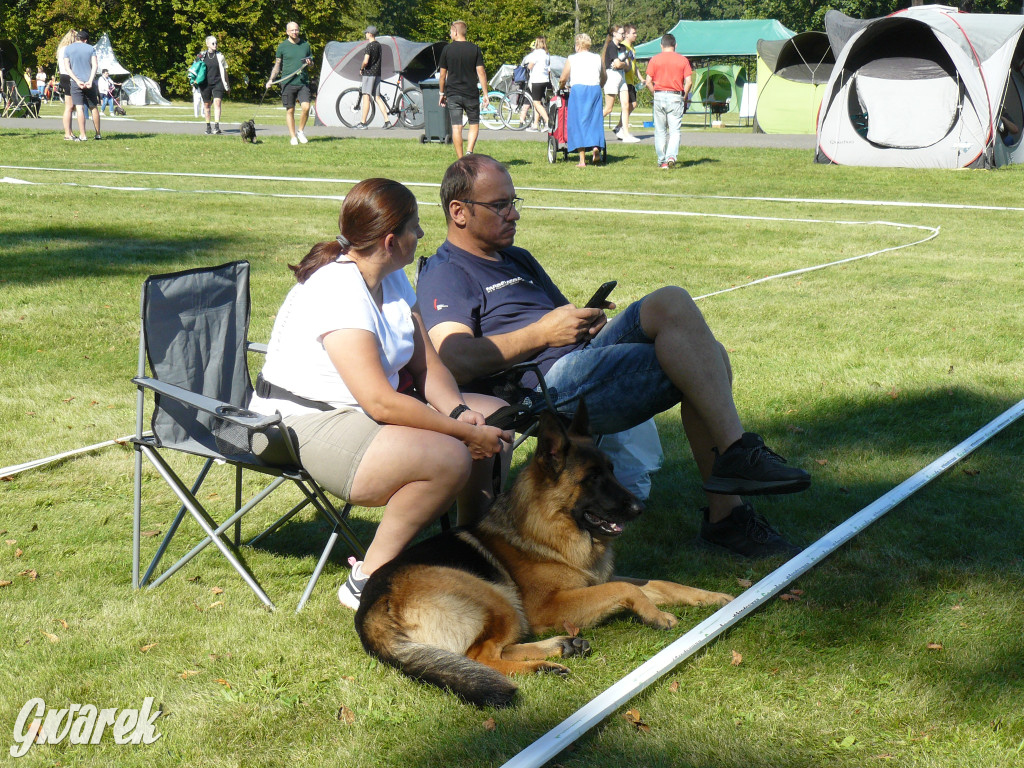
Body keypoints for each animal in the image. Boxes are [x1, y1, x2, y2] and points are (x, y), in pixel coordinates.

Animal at [356, 405, 733, 708]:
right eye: (592, 478)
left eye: (612, 470)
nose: (639, 508)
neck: (549, 531)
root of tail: (371, 609)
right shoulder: (548, 606)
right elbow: (625, 590)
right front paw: (656, 615)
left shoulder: (600, 579)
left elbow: (661, 583)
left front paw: (715, 597)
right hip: (498, 598)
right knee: (482, 656)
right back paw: (542, 667)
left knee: (496, 650)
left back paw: (561, 647)